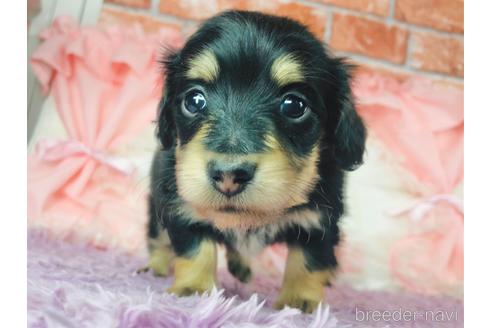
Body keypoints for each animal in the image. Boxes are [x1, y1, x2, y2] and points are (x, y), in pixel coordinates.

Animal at [144, 10, 368, 312]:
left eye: (294, 105)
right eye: (194, 100)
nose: (229, 175)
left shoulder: (322, 219)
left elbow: (309, 261)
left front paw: (299, 302)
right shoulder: (181, 208)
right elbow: (195, 249)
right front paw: (195, 291)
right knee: (157, 239)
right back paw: (153, 268)